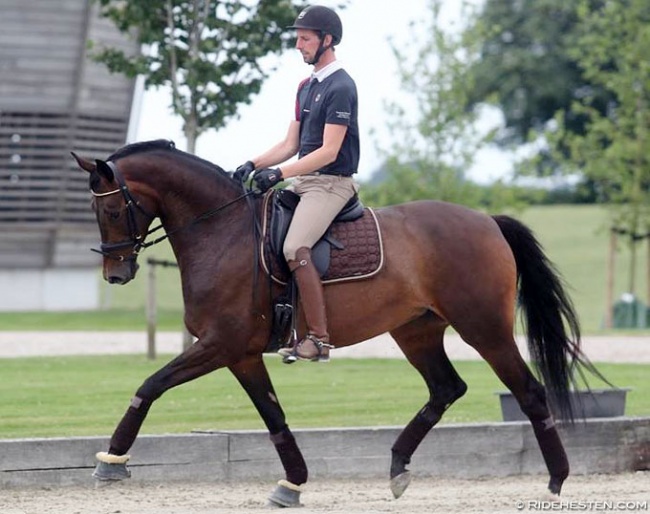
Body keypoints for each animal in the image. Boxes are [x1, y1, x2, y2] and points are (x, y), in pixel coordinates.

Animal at [71, 139, 592, 504]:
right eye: (94, 210)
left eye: (113, 208)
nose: (116, 273)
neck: (222, 231)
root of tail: (486, 221)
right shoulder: (240, 354)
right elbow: (274, 416)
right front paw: (293, 484)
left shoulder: (221, 344)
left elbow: (151, 385)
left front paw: (111, 460)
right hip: (416, 330)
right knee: (446, 388)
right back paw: (398, 467)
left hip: (483, 328)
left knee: (529, 392)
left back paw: (555, 481)